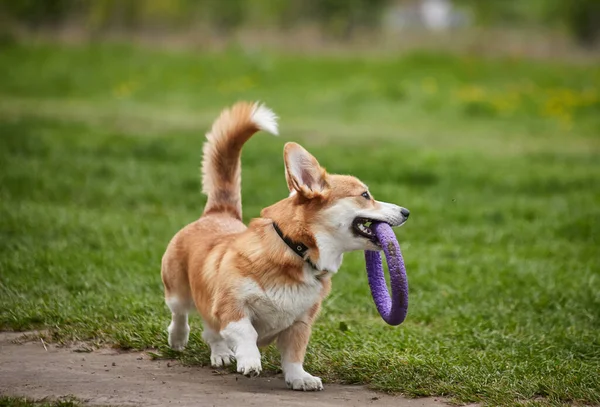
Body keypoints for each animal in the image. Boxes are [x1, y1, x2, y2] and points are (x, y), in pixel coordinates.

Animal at [162, 102, 410, 392]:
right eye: (365, 195)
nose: (406, 212)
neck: (296, 251)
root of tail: (218, 212)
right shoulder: (231, 307)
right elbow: (246, 331)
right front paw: (250, 361)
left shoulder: (301, 322)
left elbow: (294, 354)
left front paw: (300, 378)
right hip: (177, 290)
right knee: (181, 314)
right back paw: (180, 339)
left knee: (211, 331)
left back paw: (221, 353)